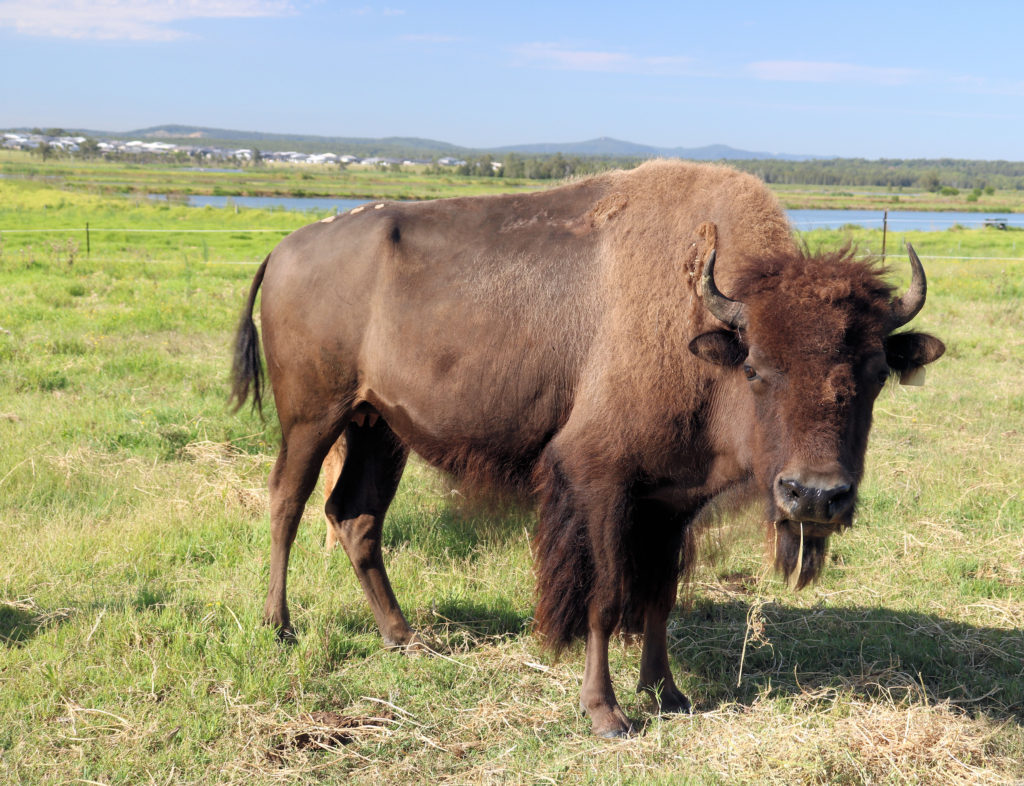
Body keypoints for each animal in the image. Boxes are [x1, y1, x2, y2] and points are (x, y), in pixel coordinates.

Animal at [232, 159, 942, 736]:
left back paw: (405, 638)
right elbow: (604, 598)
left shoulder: (670, 502)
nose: (815, 496)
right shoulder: (600, 481)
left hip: (378, 427)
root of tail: (286, 247)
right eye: (757, 367)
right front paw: (606, 714)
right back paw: (279, 626)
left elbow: (658, 598)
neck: (702, 326)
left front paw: (669, 694)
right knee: (287, 502)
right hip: (313, 417)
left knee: (356, 517)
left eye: (876, 372)